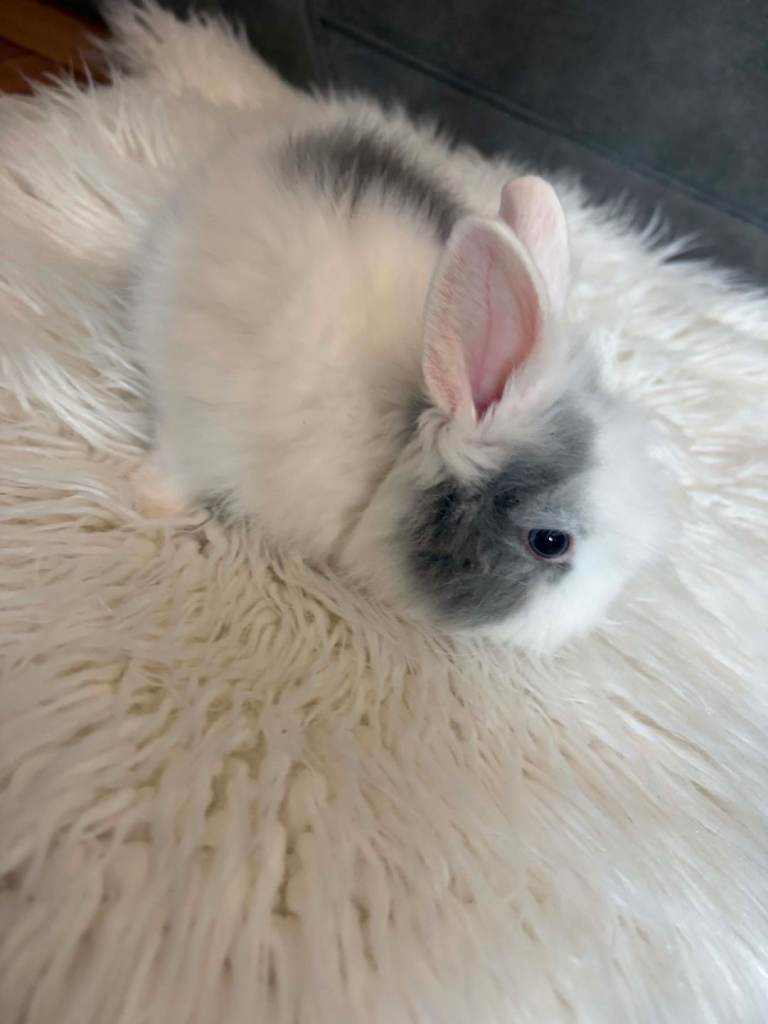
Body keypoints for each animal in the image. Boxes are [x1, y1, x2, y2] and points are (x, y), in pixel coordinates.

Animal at [131, 98, 665, 653]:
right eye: (550, 542)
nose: (583, 625)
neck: (399, 439)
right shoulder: (209, 431)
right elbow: (179, 464)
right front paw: (153, 503)